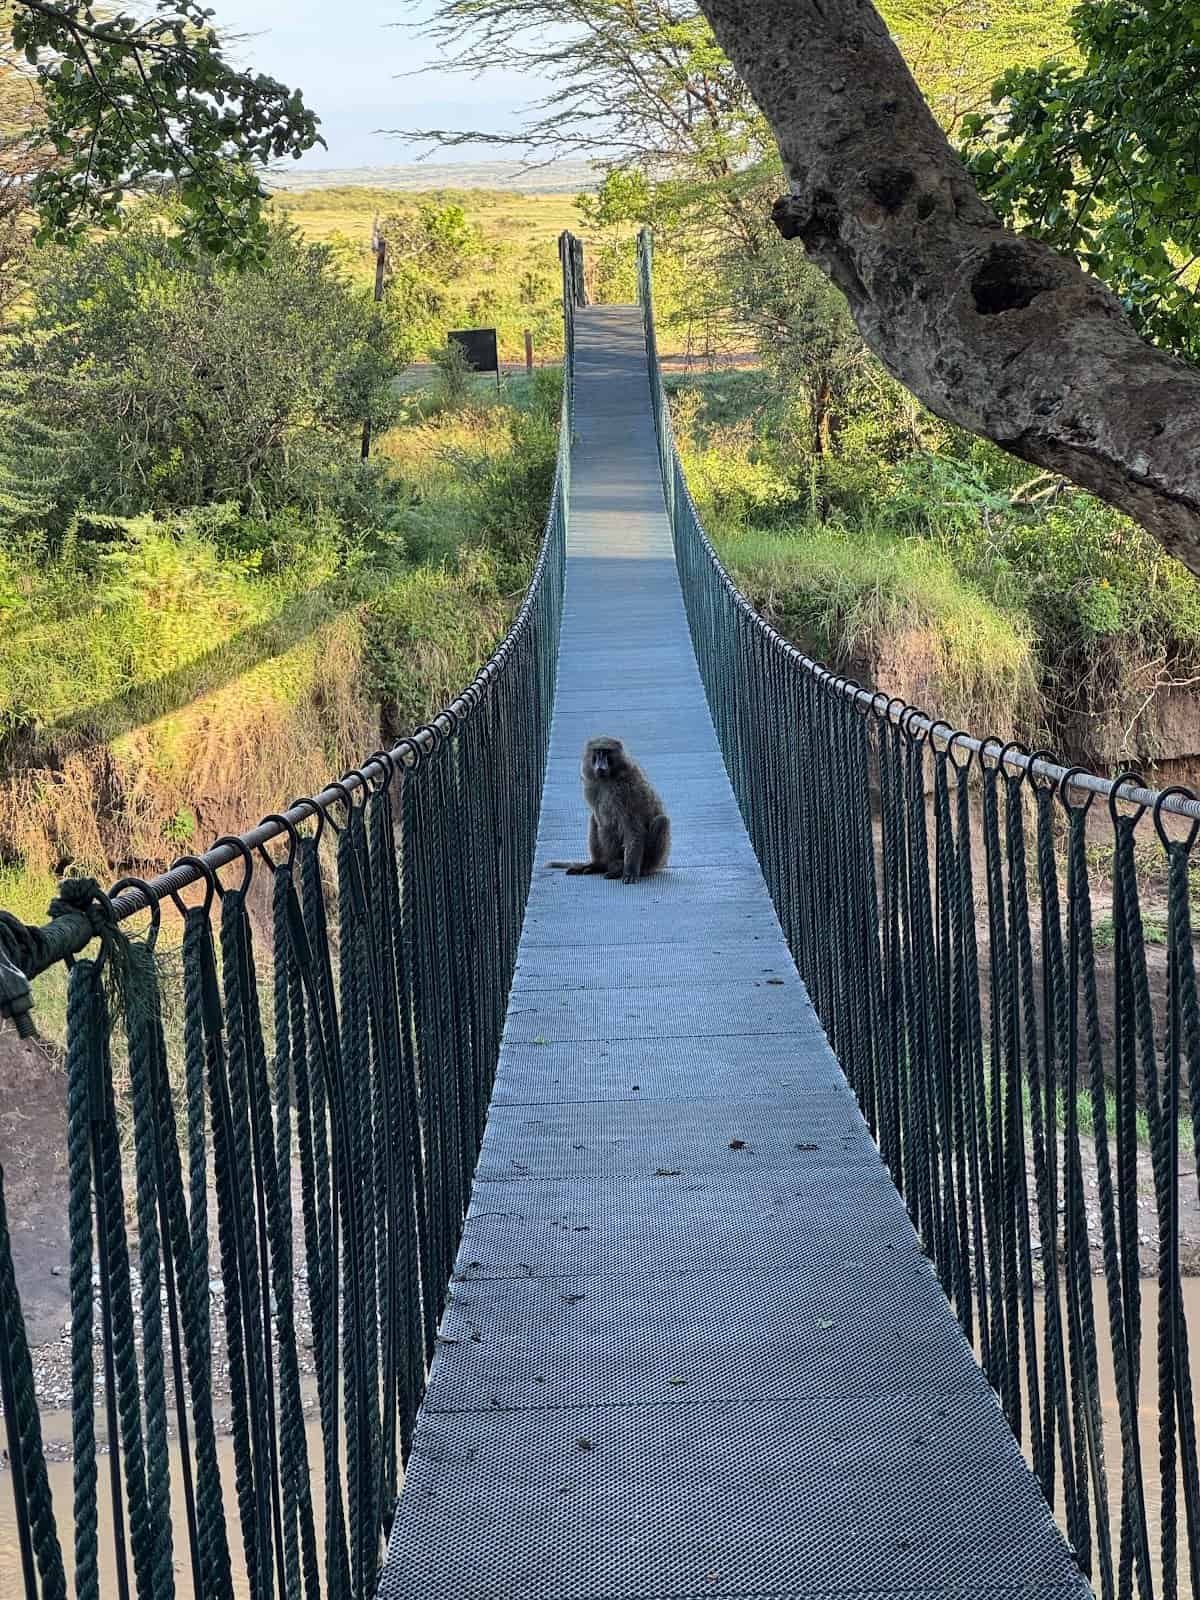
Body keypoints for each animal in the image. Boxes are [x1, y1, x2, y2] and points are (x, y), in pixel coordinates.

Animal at [548, 736, 671, 885]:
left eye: (606, 752)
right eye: (597, 752)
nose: (600, 765)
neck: (608, 779)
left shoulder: (626, 791)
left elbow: (633, 828)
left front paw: (629, 872)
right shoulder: (592, 788)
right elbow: (603, 824)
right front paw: (609, 866)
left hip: (655, 860)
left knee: (661, 821)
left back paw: (638, 869)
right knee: (594, 819)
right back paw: (599, 865)